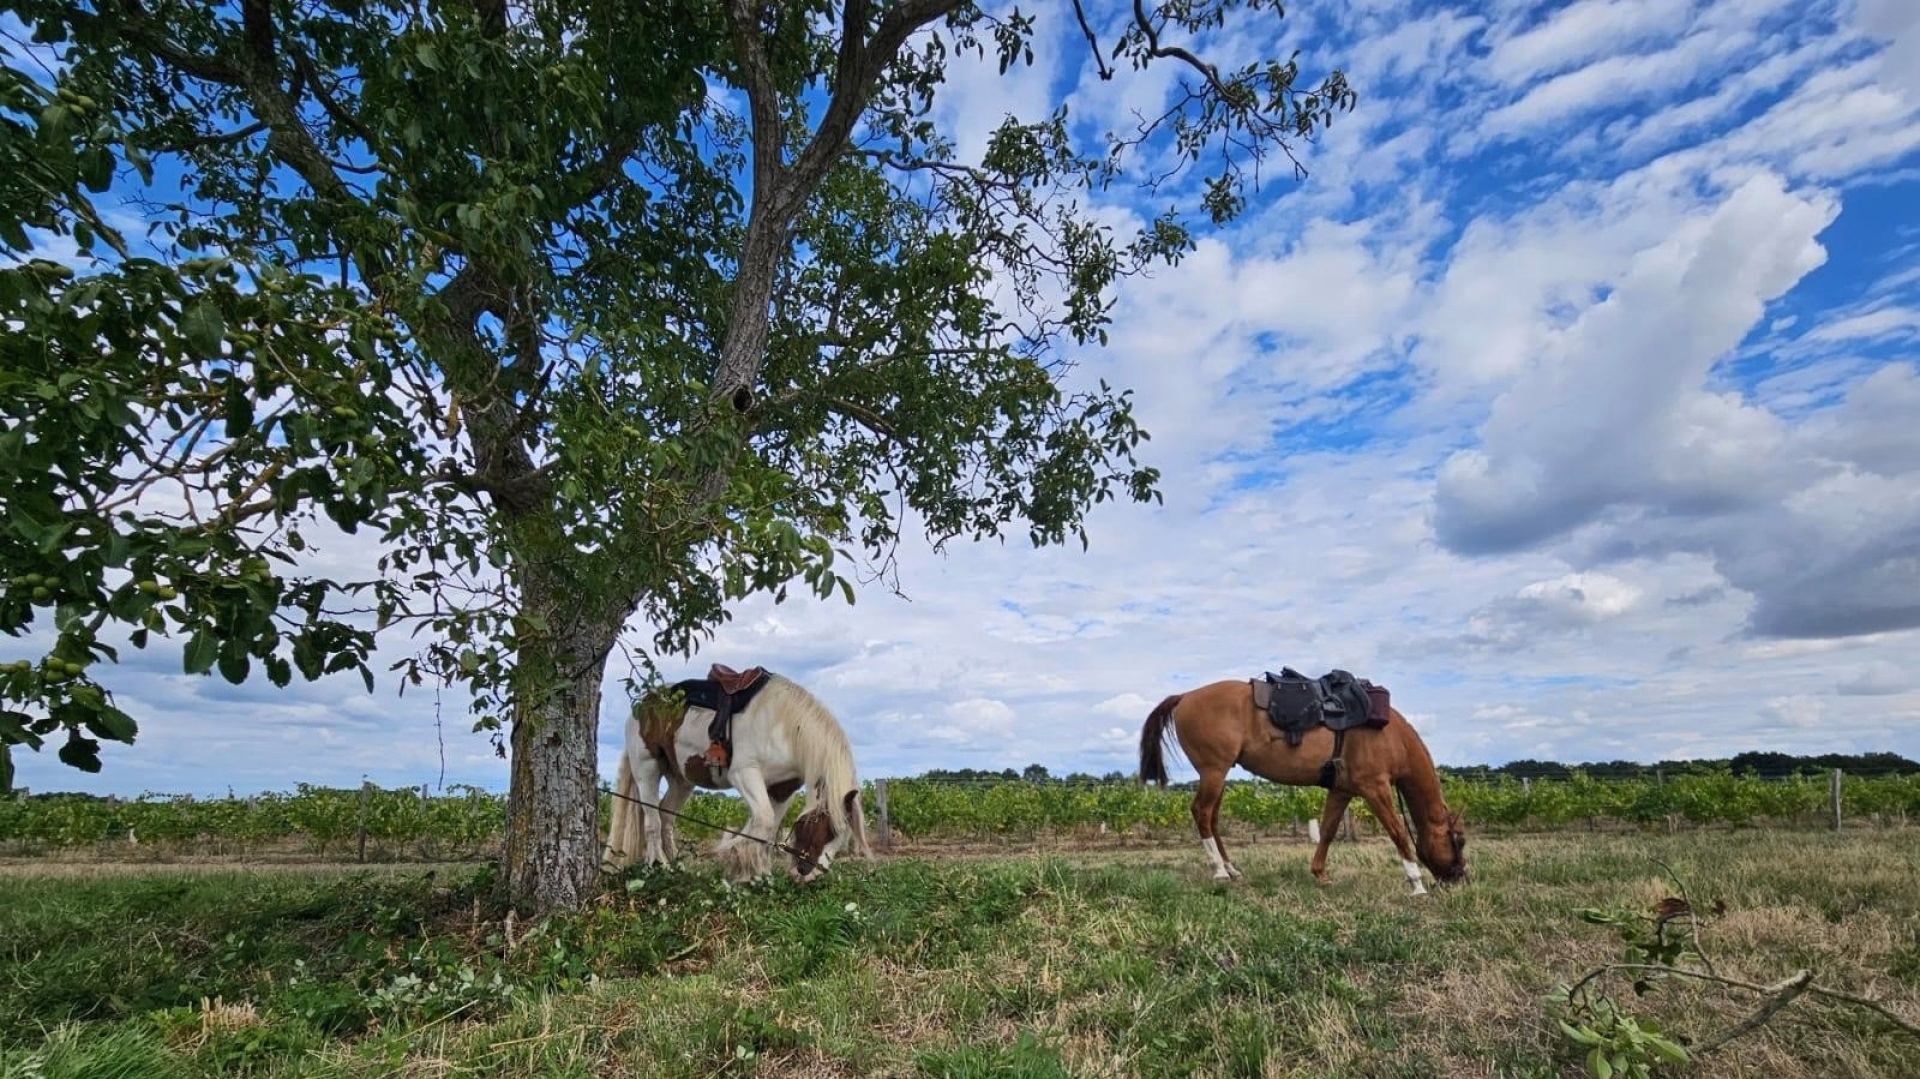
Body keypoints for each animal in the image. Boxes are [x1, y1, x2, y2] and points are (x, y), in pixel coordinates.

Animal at [603, 670, 872, 883]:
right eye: (828, 829)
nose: (808, 875)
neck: (784, 727)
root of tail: (641, 706)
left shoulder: (782, 788)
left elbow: (769, 830)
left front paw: (759, 874)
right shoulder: (745, 774)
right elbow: (762, 822)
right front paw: (745, 872)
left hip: (681, 781)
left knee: (666, 817)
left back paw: (678, 867)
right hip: (647, 770)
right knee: (652, 822)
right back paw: (657, 868)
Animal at [1139, 678, 1467, 896]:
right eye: (1459, 841)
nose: (1460, 877)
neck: (1388, 734)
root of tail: (1185, 696)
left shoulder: (1342, 790)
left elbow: (1329, 830)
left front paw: (1320, 874)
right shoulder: (1374, 788)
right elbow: (1397, 832)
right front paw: (1416, 883)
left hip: (1217, 775)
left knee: (1213, 818)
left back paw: (1230, 869)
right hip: (1213, 771)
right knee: (1202, 813)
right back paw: (1219, 871)